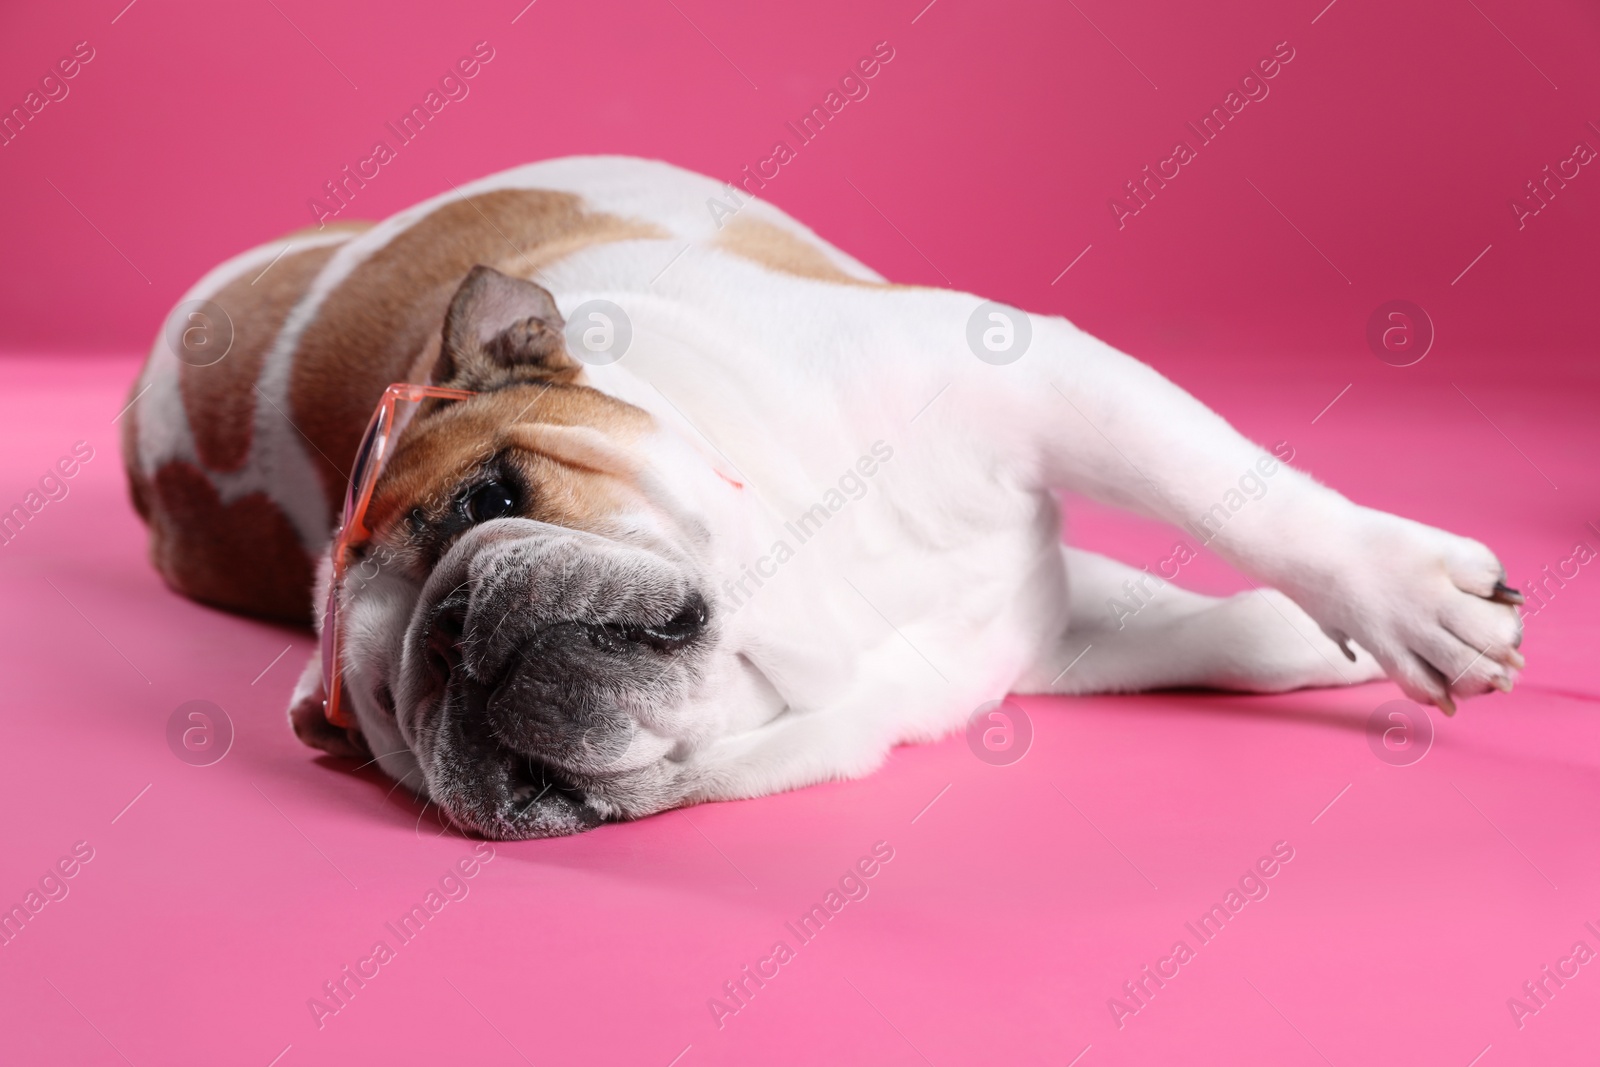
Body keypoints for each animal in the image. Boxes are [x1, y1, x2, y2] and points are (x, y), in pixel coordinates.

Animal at [124, 154, 1523, 838]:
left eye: (486, 498)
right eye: (386, 711)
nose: (451, 633)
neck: (801, 612)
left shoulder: (1046, 386)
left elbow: (1237, 499)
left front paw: (1393, 604)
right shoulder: (1040, 634)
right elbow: (1192, 625)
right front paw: (1332, 634)